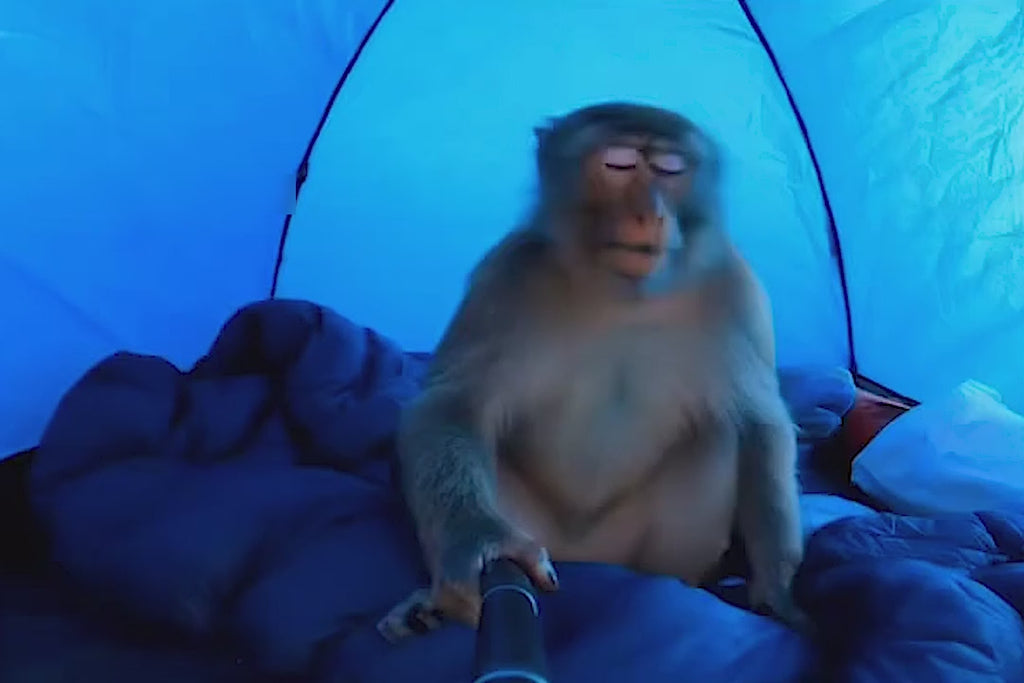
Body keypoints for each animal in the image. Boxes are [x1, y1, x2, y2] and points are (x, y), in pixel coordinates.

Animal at [377, 101, 807, 642]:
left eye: (671, 171)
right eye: (618, 164)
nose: (651, 213)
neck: (624, 296)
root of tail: (589, 557)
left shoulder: (739, 292)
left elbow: (760, 423)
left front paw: (776, 587)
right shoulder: (508, 276)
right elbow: (452, 407)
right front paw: (480, 544)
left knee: (718, 434)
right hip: (543, 533)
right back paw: (427, 607)